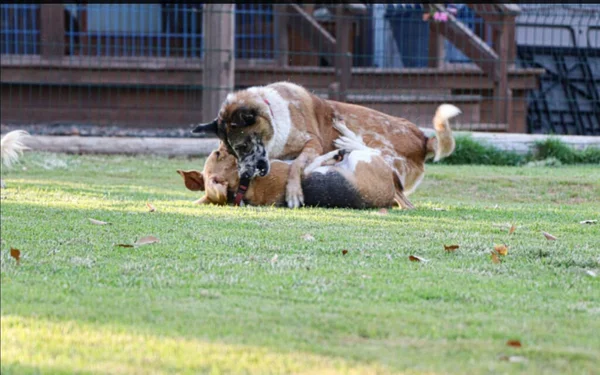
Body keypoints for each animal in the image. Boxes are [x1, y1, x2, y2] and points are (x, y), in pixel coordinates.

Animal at [180, 122, 400, 209]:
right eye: (218, 154)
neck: (244, 184)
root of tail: (389, 195)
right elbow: (311, 162)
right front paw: (332, 154)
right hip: (363, 160)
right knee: (372, 151)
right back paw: (346, 141)